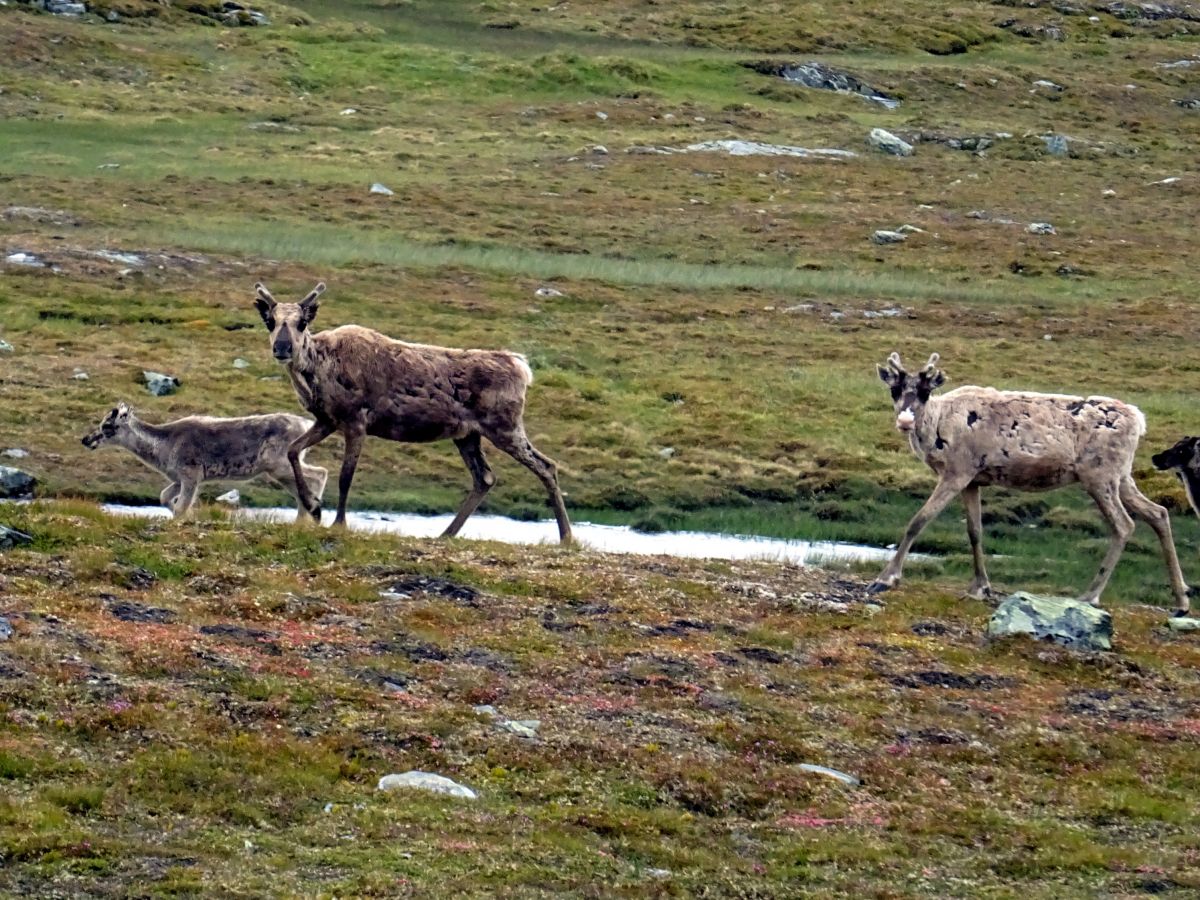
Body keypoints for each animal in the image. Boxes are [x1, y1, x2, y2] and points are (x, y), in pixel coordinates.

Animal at [81, 405, 326, 518]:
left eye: (107, 425)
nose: (86, 439)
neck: (162, 446)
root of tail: (305, 424)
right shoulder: (178, 479)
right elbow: (164, 498)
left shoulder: (191, 475)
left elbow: (180, 506)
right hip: (280, 470)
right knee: (302, 489)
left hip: (279, 465)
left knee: (319, 474)